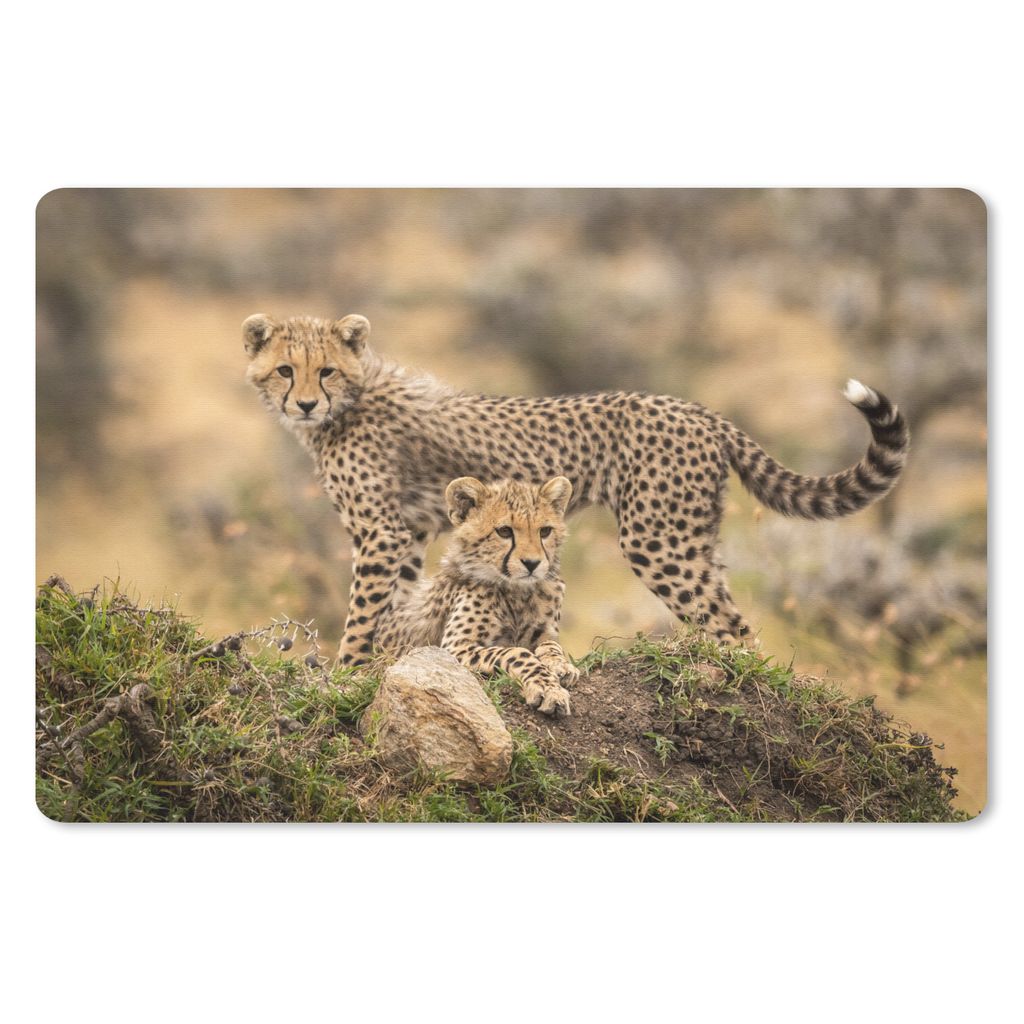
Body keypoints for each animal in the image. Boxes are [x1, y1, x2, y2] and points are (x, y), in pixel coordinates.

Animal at [243, 313, 909, 667]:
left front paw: (347, 672)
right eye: (286, 370)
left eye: (326, 370)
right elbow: (400, 607)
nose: (305, 402)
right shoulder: (410, 534)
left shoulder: (382, 533)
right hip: (692, 538)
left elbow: (362, 614)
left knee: (732, 627)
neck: (350, 403)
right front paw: (385, 659)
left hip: (658, 539)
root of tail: (698, 410)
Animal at [374, 475, 578, 716]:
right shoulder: (454, 647)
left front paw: (562, 666)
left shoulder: (544, 633)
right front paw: (547, 689)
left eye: (545, 531)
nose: (532, 563)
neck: (517, 592)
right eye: (504, 531)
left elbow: (551, 646)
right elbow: (517, 652)